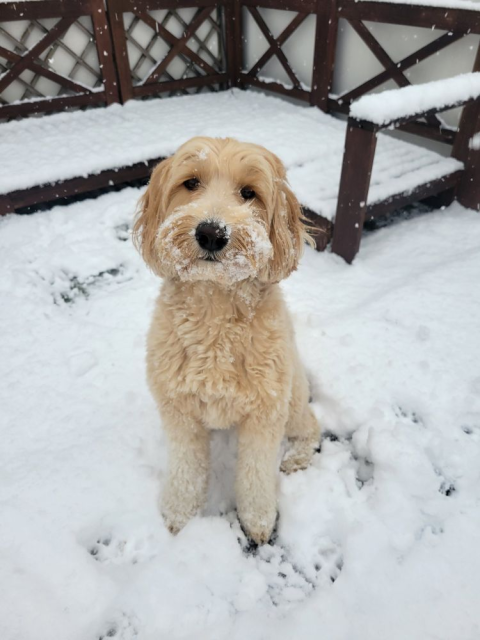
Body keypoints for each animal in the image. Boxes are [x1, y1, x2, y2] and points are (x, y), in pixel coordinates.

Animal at [133, 136, 320, 544]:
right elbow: (186, 468)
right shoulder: (179, 410)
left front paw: (259, 520)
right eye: (190, 183)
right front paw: (178, 514)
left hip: (292, 399)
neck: (215, 308)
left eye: (249, 192)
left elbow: (255, 475)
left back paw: (297, 457)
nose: (211, 233)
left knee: (311, 427)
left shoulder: (266, 413)